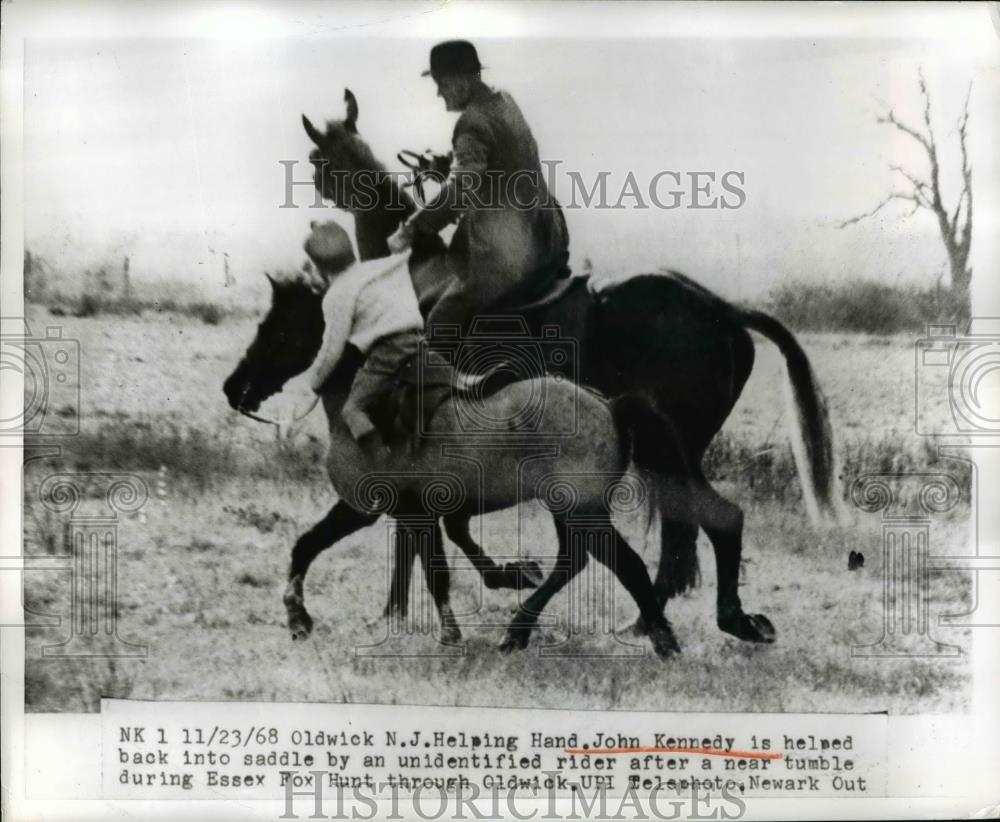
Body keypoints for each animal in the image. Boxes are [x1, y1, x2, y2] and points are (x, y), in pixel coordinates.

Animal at [223, 251, 752, 656]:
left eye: (276, 329)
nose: (234, 389)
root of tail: (610, 405)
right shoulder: (411, 512)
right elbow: (323, 547)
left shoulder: (376, 508)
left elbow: (418, 569)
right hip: (580, 510)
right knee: (590, 560)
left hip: (580, 509)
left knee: (621, 562)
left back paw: (653, 636)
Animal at [294, 90, 836, 644]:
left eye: (317, 161)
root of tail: (722, 307)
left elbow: (413, 528)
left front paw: (395, 610)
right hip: (673, 447)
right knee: (685, 525)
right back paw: (657, 619)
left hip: (665, 446)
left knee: (702, 522)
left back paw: (686, 618)